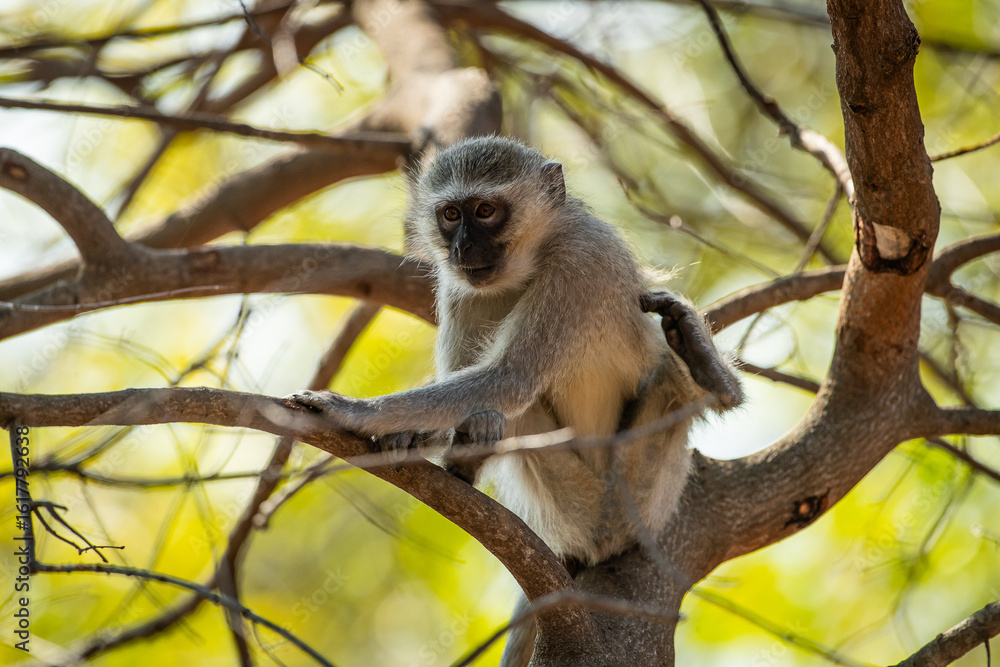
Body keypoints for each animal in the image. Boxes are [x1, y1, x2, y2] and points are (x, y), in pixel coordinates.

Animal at [288, 136, 742, 566]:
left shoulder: (581, 258)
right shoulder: (458, 290)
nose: (462, 248)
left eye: (486, 210)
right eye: (451, 215)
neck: (533, 257)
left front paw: (353, 411)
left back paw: (709, 372)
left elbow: (511, 379)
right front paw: (403, 433)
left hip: (625, 496)